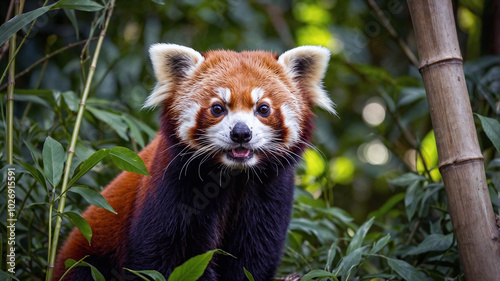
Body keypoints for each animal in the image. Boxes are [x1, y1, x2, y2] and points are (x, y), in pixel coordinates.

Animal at [54, 42, 334, 278]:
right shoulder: (174, 185)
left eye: (263, 108)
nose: (241, 133)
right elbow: (162, 258)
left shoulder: (270, 194)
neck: (233, 175)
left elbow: (253, 258)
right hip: (84, 257)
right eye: (218, 108)